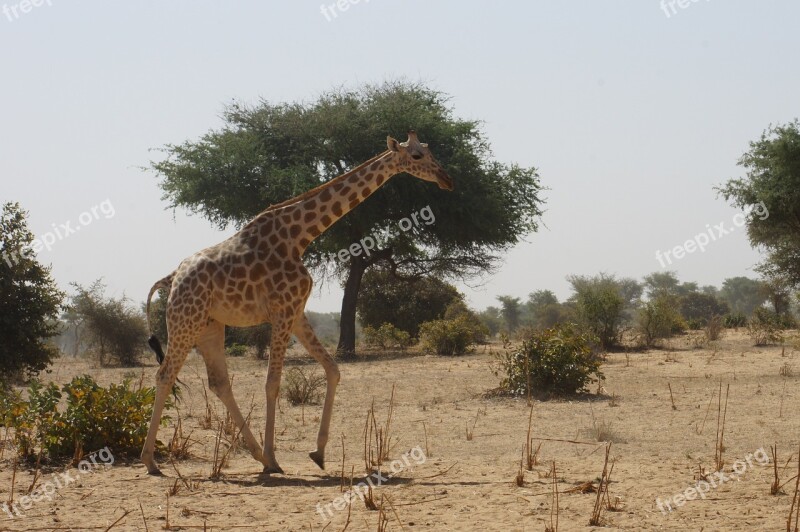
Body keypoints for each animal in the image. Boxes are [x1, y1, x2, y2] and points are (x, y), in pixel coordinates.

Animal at [141, 131, 454, 476]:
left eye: (429, 150)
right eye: (416, 156)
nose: (447, 179)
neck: (299, 236)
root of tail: (171, 278)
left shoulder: (297, 312)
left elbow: (333, 369)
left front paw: (317, 452)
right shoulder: (283, 311)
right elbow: (272, 383)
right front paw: (276, 458)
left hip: (210, 325)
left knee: (219, 382)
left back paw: (256, 455)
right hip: (185, 321)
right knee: (165, 375)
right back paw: (152, 460)